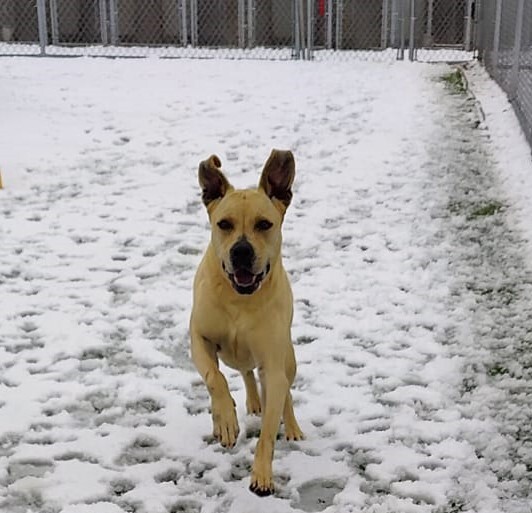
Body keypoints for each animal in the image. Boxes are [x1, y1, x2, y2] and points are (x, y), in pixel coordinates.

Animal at [190, 149, 304, 496]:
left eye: (264, 224)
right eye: (223, 224)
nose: (241, 250)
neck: (240, 299)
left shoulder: (273, 360)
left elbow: (269, 427)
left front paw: (262, 475)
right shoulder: (199, 337)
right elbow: (214, 378)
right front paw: (225, 421)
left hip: (288, 358)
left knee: (283, 390)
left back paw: (291, 426)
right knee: (243, 372)